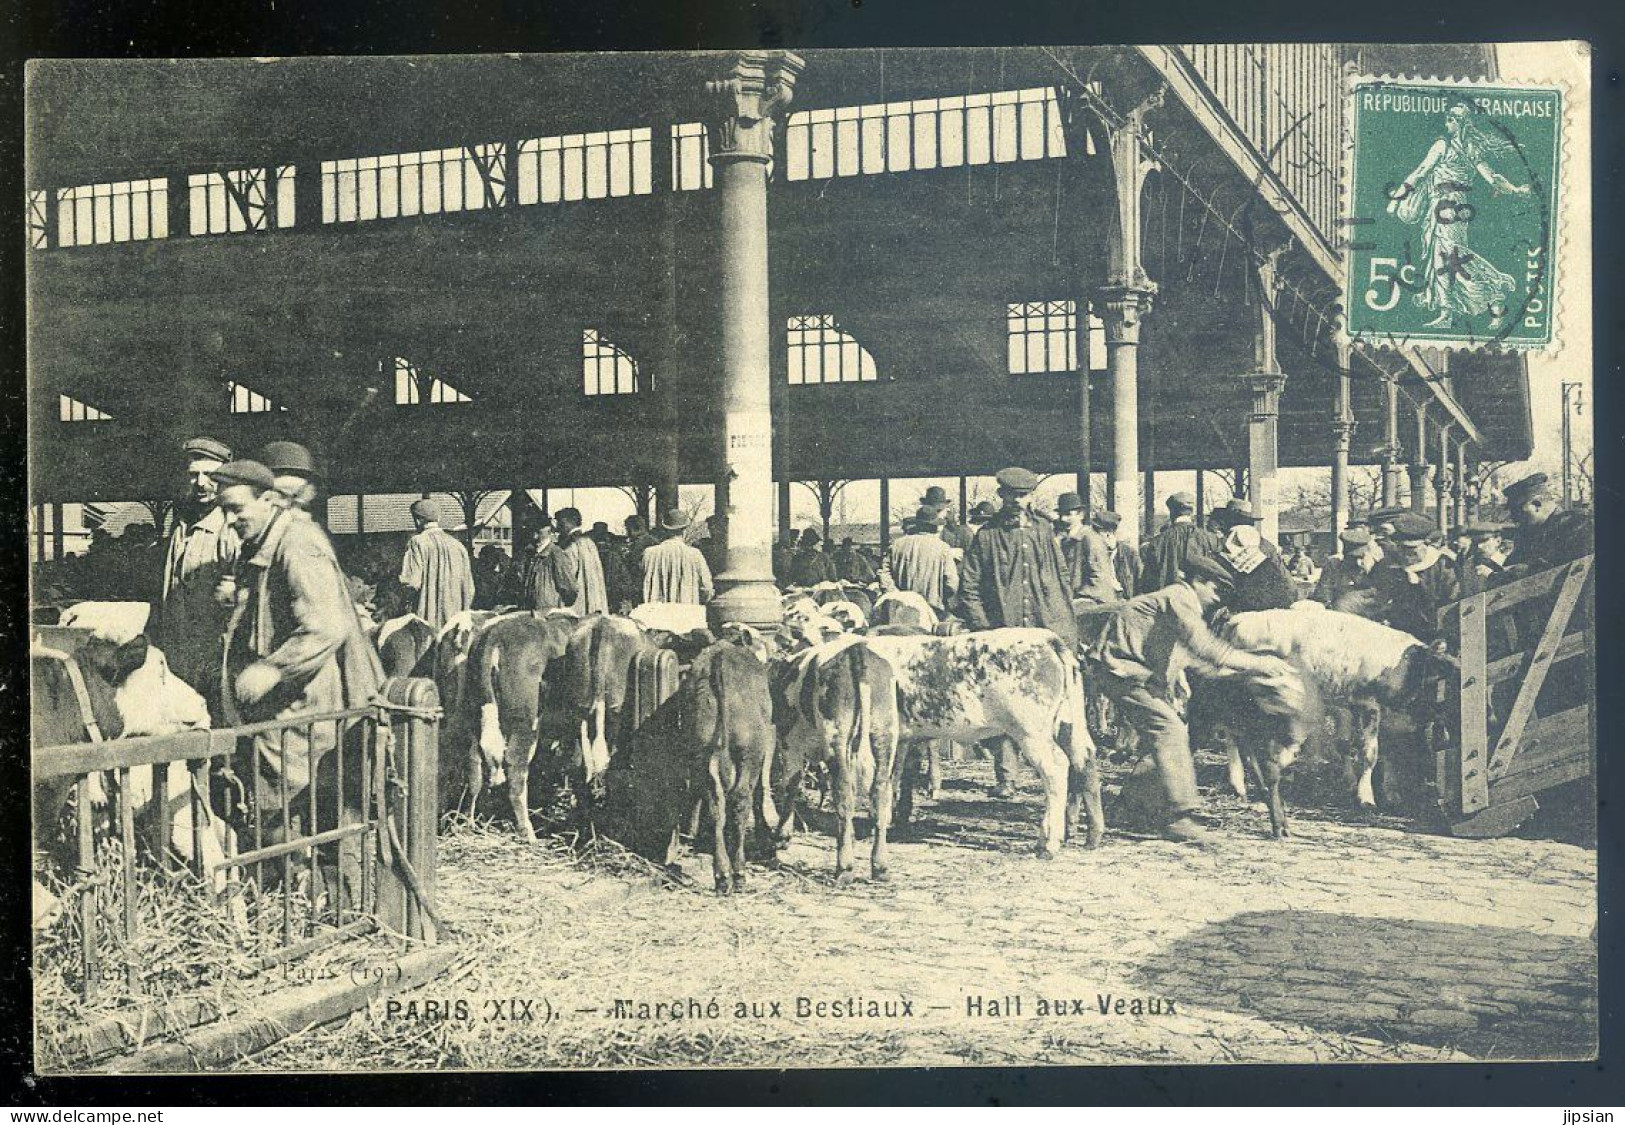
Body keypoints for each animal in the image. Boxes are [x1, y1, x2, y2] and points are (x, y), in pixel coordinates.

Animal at [858, 627, 1098, 858]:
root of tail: (1047, 639)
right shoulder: (901, 739)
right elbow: (893, 778)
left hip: (1031, 731)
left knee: (1056, 769)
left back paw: (1049, 845)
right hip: (1067, 724)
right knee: (1083, 758)